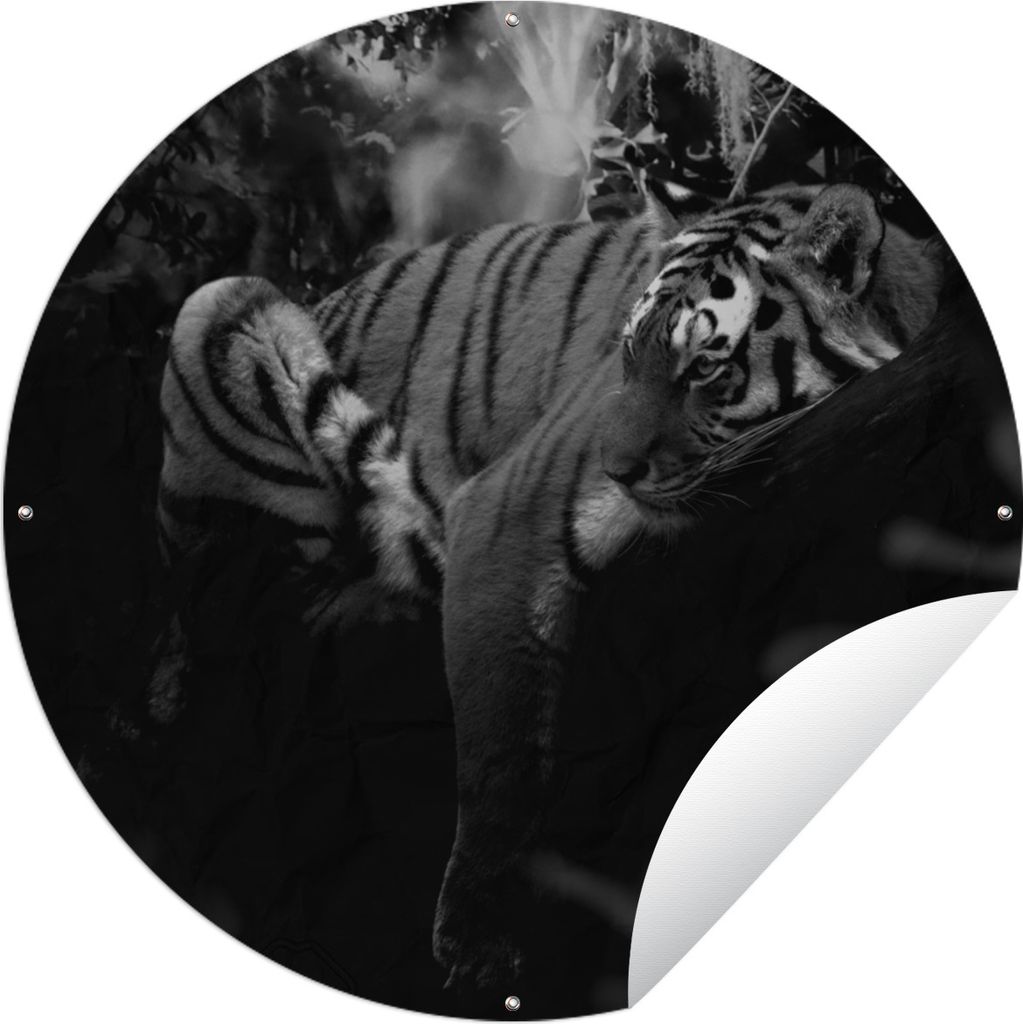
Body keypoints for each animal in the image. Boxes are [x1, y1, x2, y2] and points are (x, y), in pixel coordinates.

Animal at [155, 182, 945, 986]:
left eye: (702, 368)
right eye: (628, 352)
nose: (614, 469)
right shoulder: (504, 517)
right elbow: (500, 756)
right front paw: (474, 944)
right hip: (220, 310)